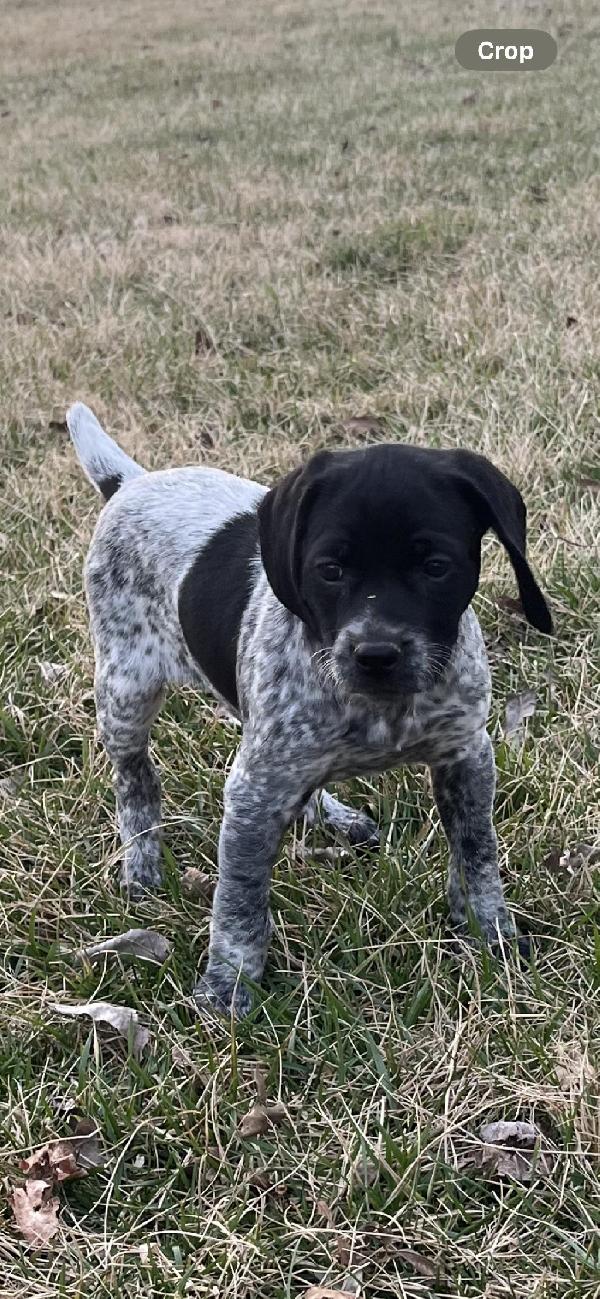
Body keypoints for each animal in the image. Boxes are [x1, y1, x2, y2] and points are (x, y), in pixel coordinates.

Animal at [66, 402, 553, 1013]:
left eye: (435, 566)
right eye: (330, 569)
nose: (376, 654)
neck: (381, 710)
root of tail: (130, 481)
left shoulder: (465, 756)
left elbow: (478, 857)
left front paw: (493, 937)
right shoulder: (255, 790)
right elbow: (240, 898)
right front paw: (229, 985)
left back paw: (332, 816)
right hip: (126, 693)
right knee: (136, 783)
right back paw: (141, 865)